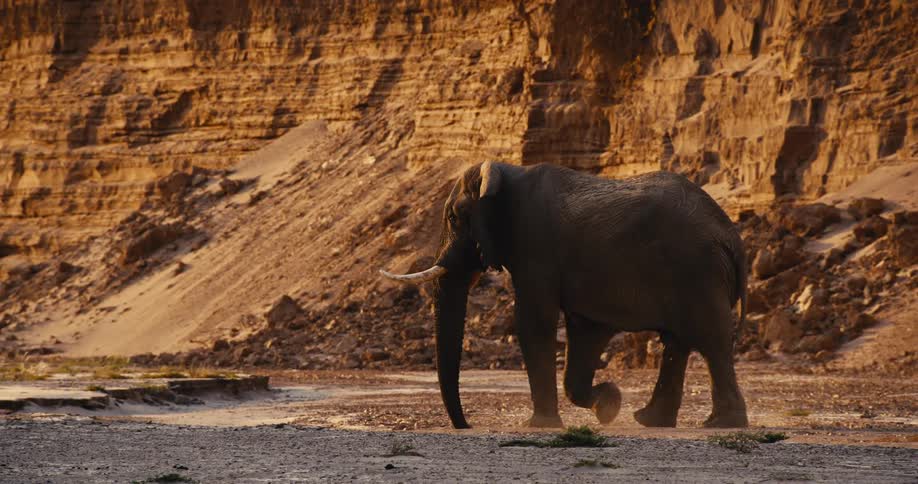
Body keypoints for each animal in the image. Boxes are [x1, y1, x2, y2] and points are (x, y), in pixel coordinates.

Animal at [381, 161, 749, 430]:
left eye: (454, 217)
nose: (466, 426)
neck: (505, 173)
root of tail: (732, 237)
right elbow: (585, 330)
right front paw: (608, 406)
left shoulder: (535, 245)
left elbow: (533, 321)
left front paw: (540, 425)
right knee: (678, 341)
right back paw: (650, 421)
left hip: (697, 269)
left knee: (710, 340)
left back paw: (721, 425)